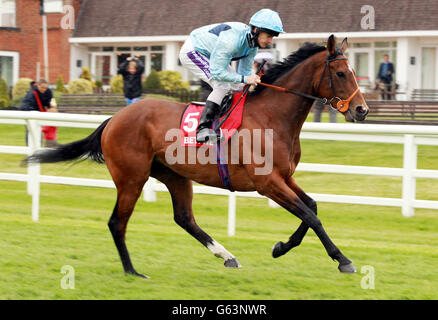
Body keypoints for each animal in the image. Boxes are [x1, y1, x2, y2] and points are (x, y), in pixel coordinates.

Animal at [25, 36, 370, 278]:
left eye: (355, 71)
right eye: (341, 73)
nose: (362, 110)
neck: (272, 116)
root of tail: (115, 118)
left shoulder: (284, 177)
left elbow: (311, 207)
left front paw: (281, 247)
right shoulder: (268, 183)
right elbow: (310, 215)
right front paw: (343, 260)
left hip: (173, 175)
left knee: (184, 218)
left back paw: (227, 256)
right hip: (131, 178)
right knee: (117, 222)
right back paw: (132, 271)